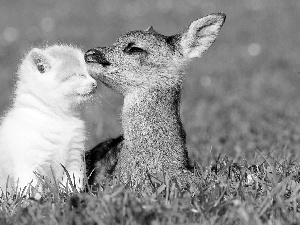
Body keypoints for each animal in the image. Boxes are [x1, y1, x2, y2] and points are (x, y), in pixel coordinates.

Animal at [0, 44, 96, 193]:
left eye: (90, 74)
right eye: (78, 75)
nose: (95, 83)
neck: (58, 117)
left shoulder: (73, 157)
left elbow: (72, 181)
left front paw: (72, 196)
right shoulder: (29, 164)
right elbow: (31, 189)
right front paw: (33, 199)